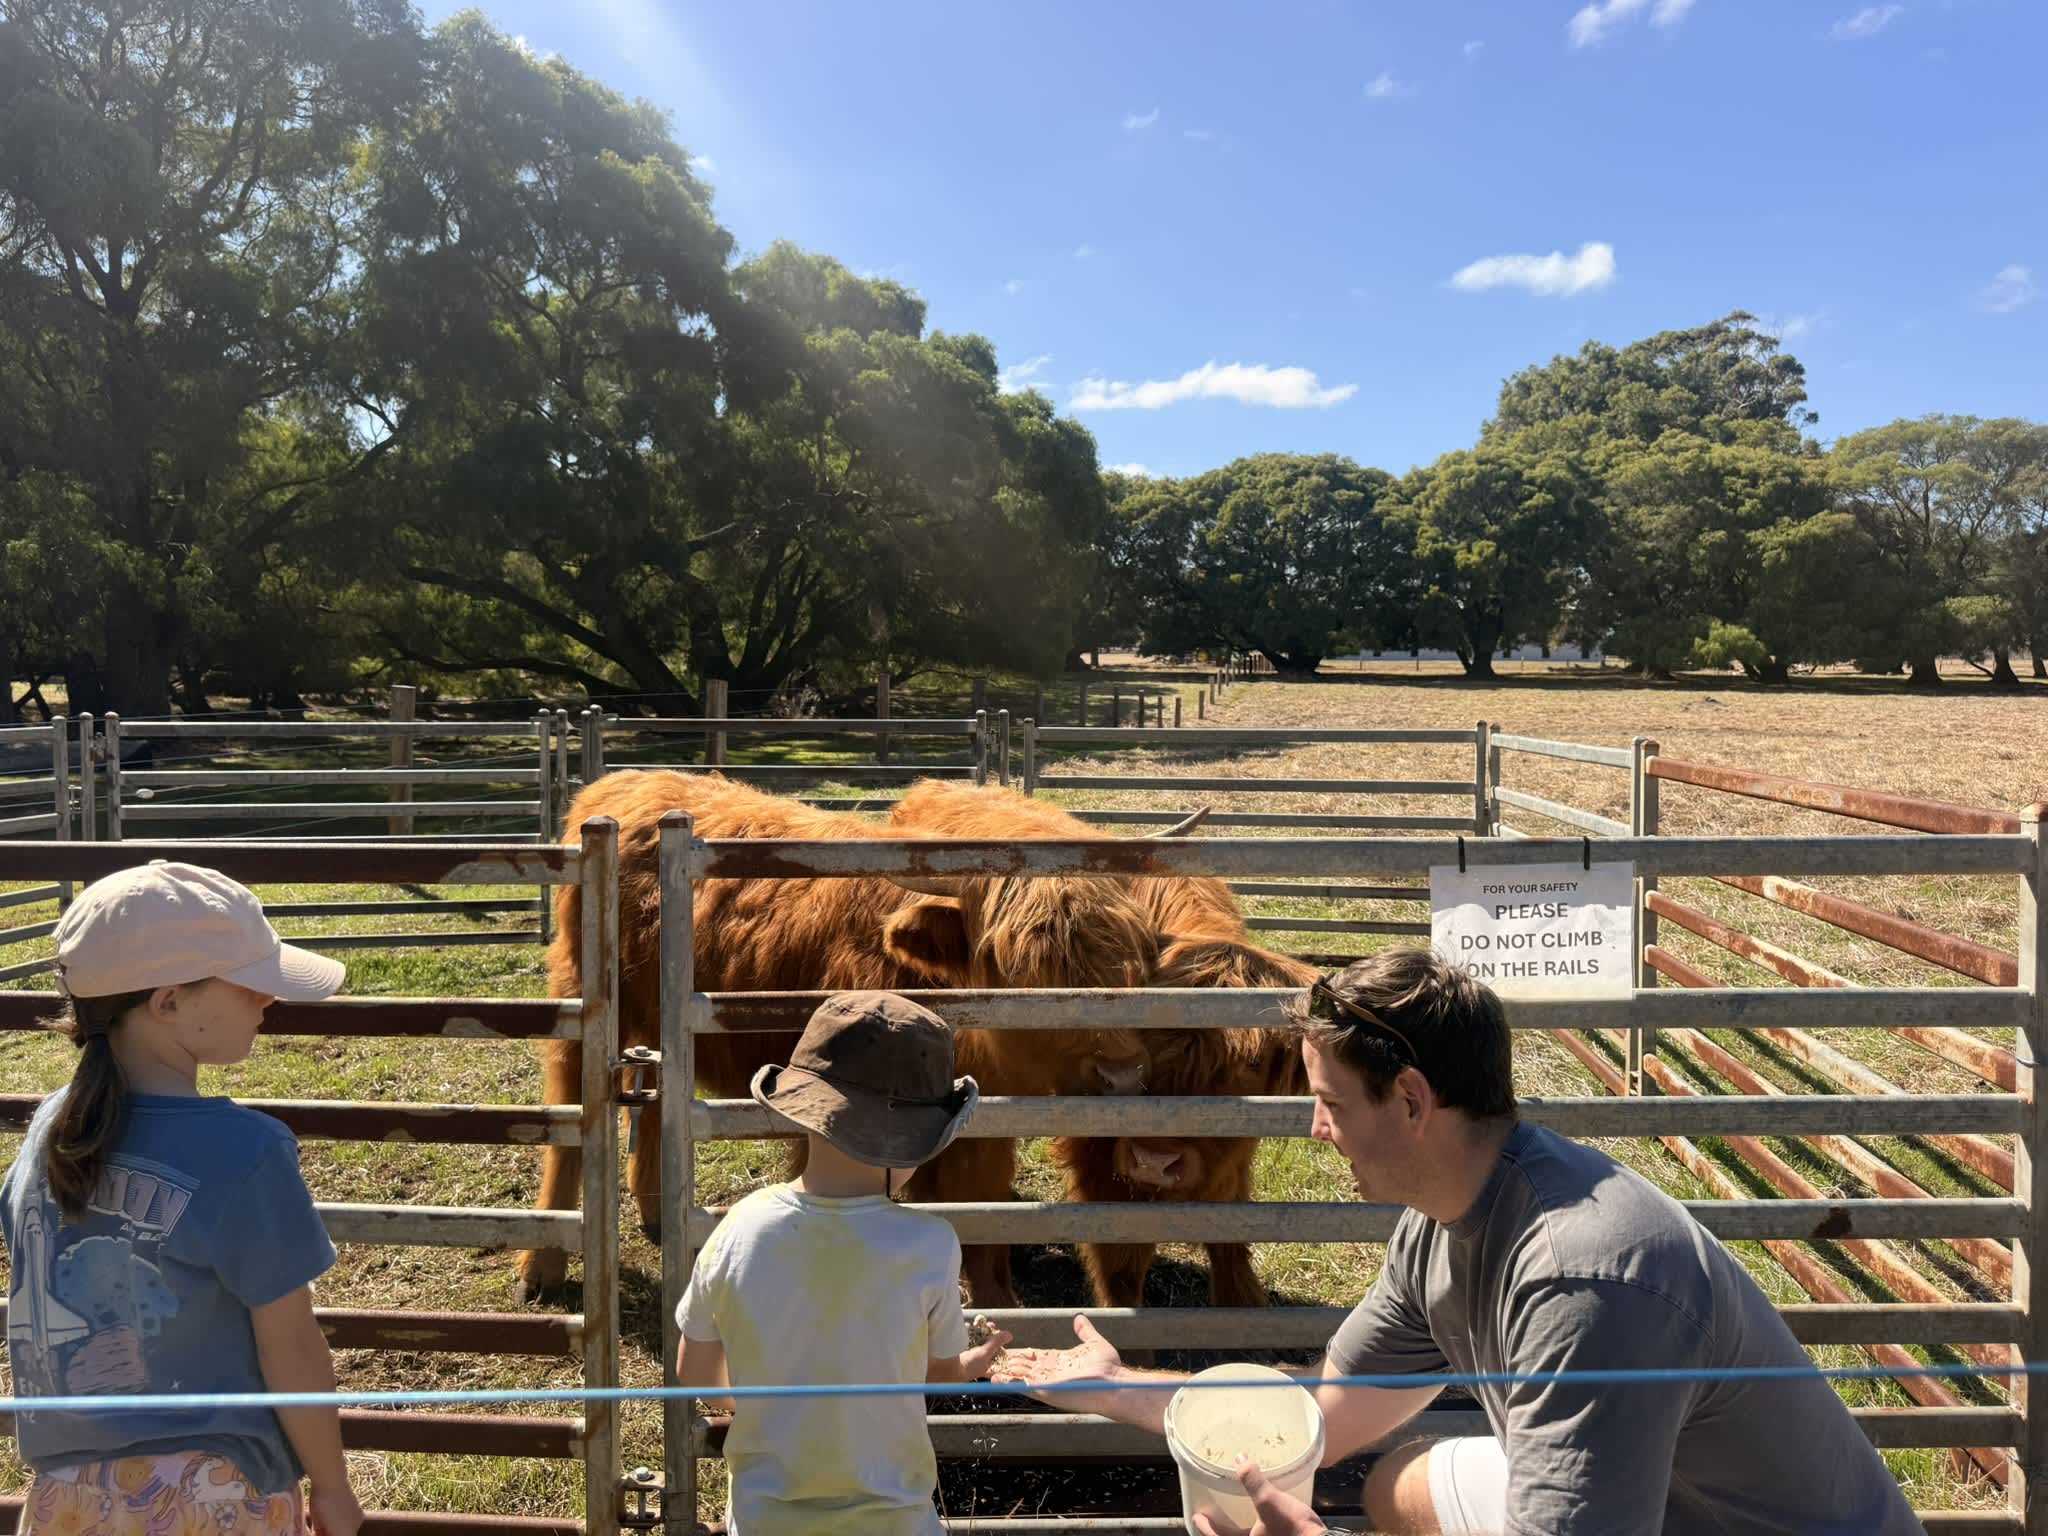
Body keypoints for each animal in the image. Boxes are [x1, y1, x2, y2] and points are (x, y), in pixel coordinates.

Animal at [518, 769, 1212, 1304]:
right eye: (1021, 968)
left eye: (1125, 956)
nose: (1122, 1074)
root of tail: (620, 783)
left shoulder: (988, 1126)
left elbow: (981, 1215)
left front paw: (999, 1310)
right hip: (583, 999)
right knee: (572, 1112)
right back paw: (541, 1269)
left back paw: (661, 1216)